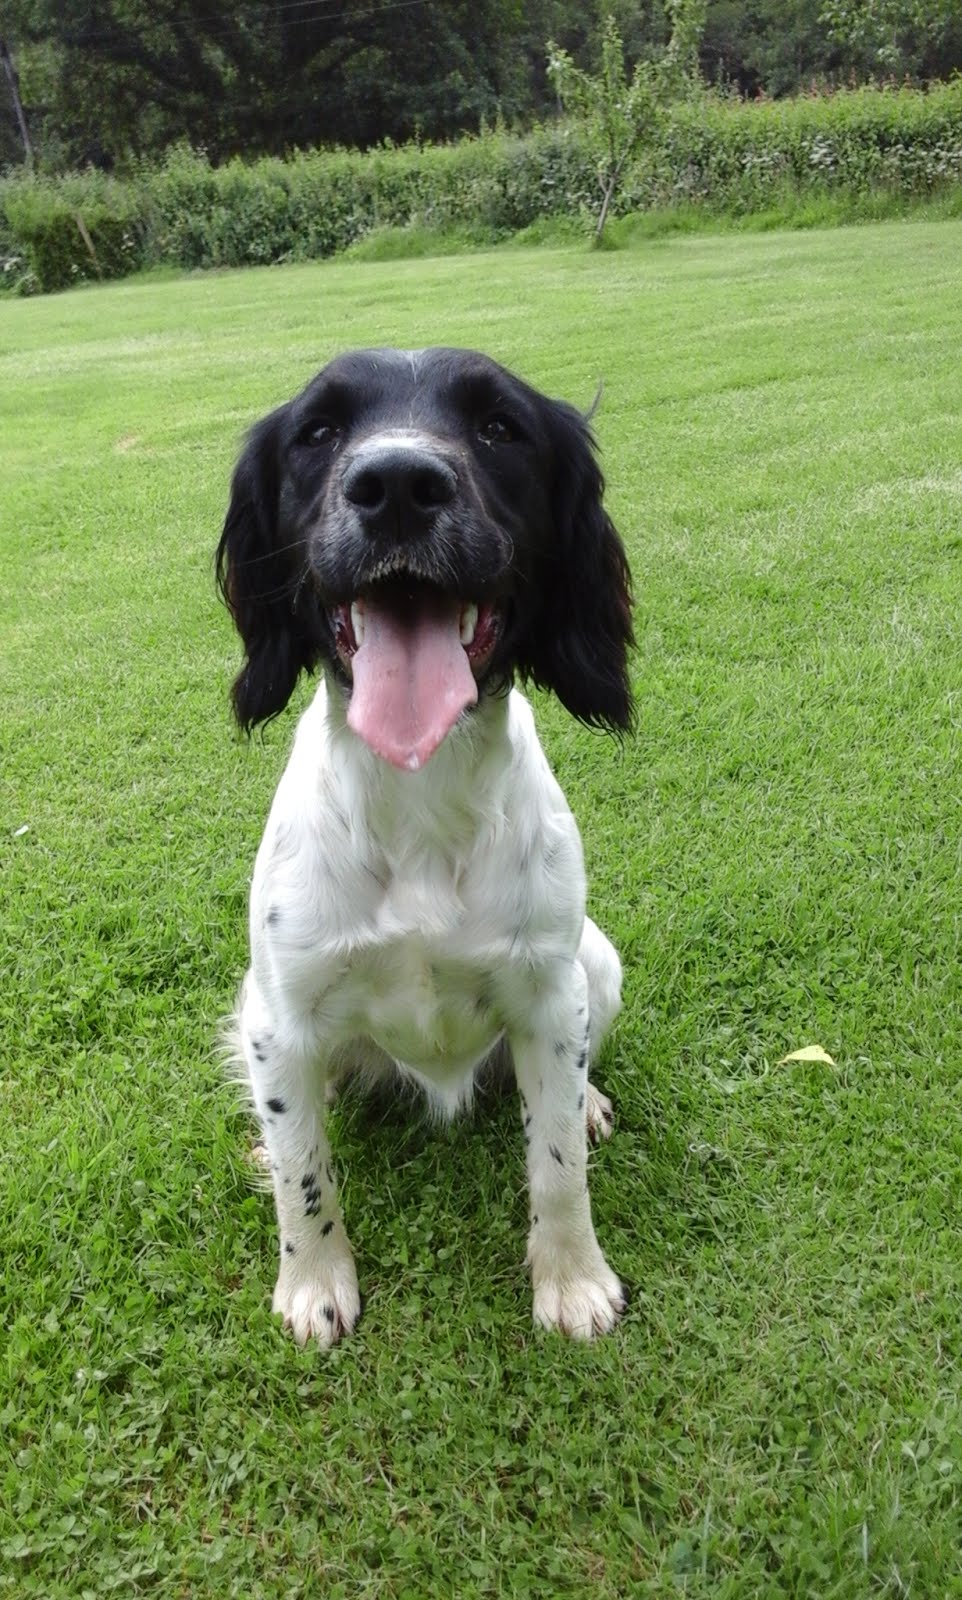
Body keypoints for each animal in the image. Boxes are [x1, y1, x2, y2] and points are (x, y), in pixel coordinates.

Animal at [214, 344, 633, 1344]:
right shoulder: (279, 1017)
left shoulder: (550, 995)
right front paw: (313, 1283)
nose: (398, 484)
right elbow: (305, 1176)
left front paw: (572, 1280)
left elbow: (557, 1166)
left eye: (500, 427)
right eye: (319, 431)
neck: (417, 793)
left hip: (596, 962)